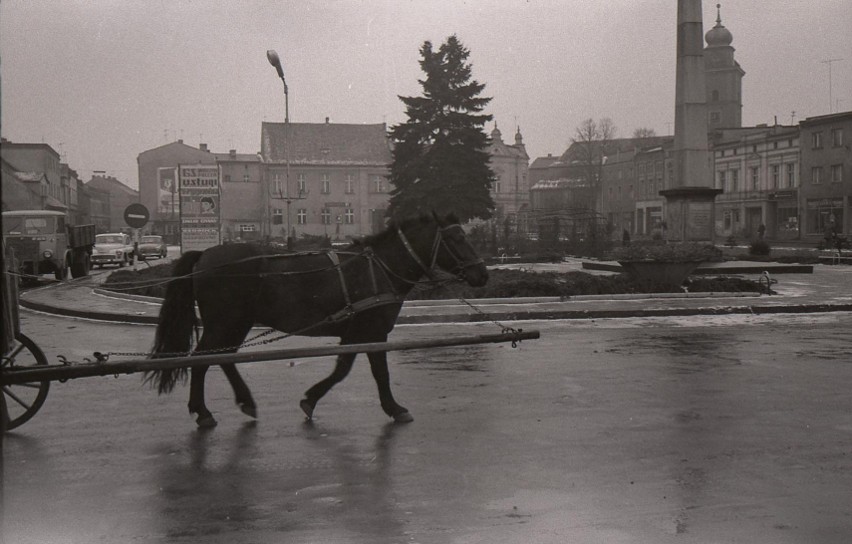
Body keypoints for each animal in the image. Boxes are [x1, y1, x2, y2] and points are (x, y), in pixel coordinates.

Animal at [146, 212, 486, 430]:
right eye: (456, 237)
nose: (482, 273)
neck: (378, 268)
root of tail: (204, 256)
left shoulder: (355, 332)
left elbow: (342, 369)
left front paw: (311, 398)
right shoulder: (373, 330)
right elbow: (378, 373)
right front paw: (395, 408)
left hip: (234, 324)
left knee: (223, 358)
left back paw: (244, 401)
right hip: (225, 322)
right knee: (202, 360)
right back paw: (203, 412)